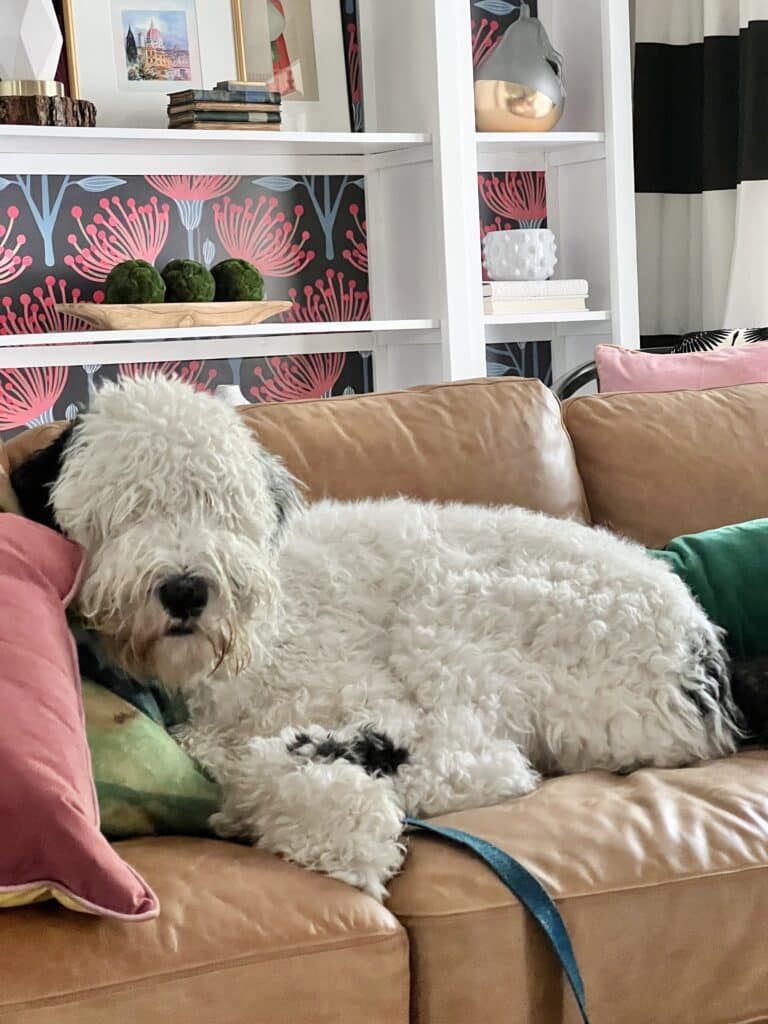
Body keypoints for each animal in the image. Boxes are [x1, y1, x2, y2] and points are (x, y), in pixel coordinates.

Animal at [10, 378, 741, 897]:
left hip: (452, 615)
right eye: (127, 510)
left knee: (490, 762)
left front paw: (336, 819)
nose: (188, 590)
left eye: (216, 506)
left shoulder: (359, 690)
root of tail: (698, 648)